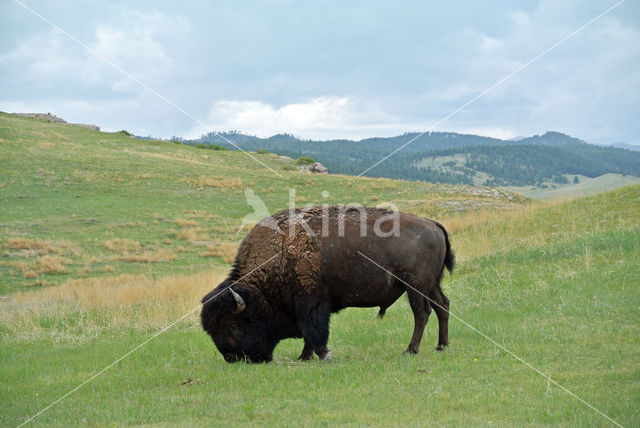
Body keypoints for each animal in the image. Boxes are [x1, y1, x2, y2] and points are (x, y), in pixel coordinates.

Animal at [202, 206, 452, 362]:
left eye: (232, 325)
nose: (232, 358)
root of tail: (433, 224)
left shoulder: (310, 301)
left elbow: (313, 329)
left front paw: (322, 355)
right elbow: (308, 332)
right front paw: (304, 356)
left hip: (415, 286)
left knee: (422, 313)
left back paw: (410, 350)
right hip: (432, 285)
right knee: (443, 307)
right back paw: (442, 346)